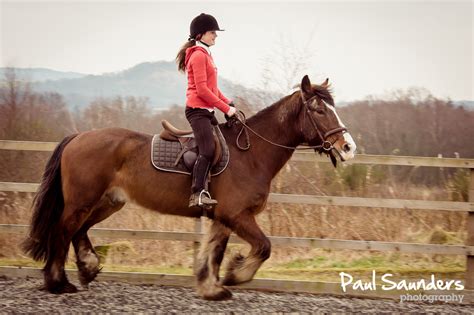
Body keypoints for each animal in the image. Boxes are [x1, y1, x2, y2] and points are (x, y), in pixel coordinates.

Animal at [22, 76, 356, 302]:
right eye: (319, 110)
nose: (348, 147)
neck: (251, 154)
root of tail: (78, 136)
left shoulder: (223, 218)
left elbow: (213, 253)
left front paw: (212, 287)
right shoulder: (237, 216)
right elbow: (263, 246)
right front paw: (235, 275)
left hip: (107, 202)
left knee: (78, 230)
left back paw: (87, 268)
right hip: (82, 201)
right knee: (62, 231)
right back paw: (58, 283)